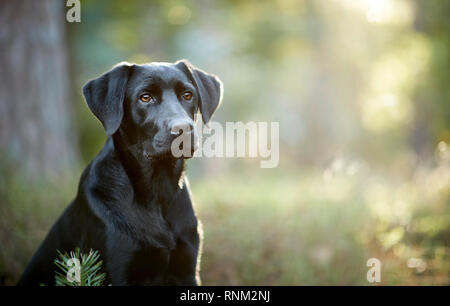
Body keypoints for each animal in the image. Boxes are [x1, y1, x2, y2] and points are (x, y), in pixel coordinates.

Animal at [18, 60, 223, 286]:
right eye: (145, 97)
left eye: (187, 95)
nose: (183, 129)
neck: (157, 193)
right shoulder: (118, 270)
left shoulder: (186, 270)